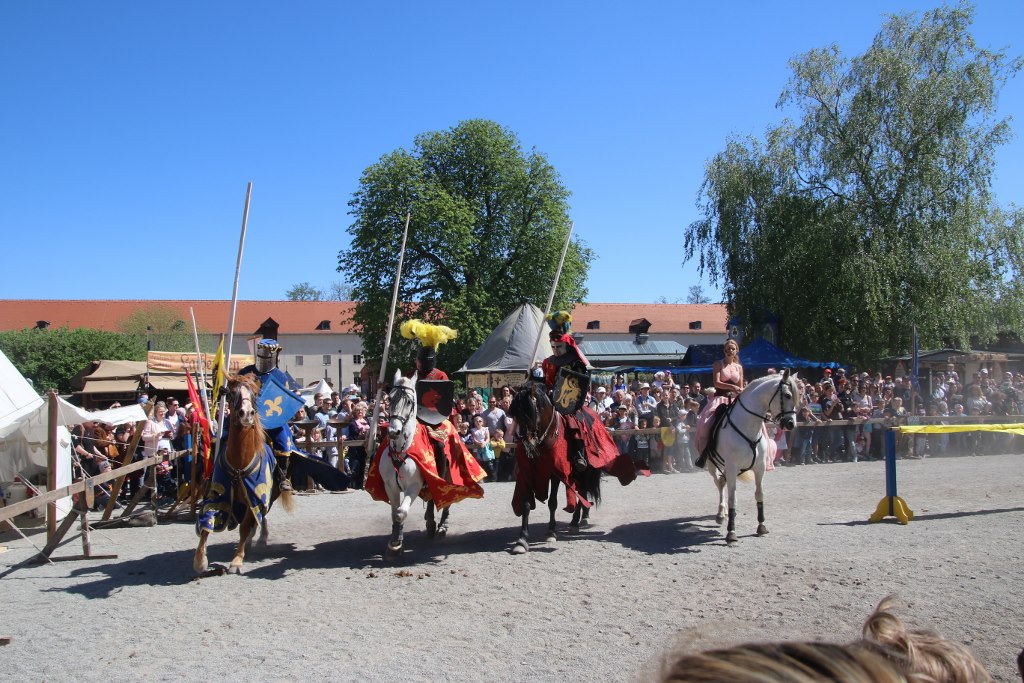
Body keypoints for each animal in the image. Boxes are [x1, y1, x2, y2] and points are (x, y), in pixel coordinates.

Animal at [193, 373, 293, 575]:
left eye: (255, 394)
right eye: (231, 393)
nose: (246, 414)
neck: (240, 462)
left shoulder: (255, 496)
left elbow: (246, 526)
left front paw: (237, 560)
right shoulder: (218, 494)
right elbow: (207, 522)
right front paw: (200, 560)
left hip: (268, 495)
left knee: (261, 517)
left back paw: (260, 538)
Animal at [507, 380, 609, 555]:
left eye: (530, 412)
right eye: (516, 416)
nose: (527, 446)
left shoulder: (555, 473)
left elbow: (552, 502)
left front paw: (551, 532)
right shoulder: (527, 472)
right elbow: (526, 504)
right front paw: (522, 540)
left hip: (584, 471)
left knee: (582, 491)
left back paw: (575, 523)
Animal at [699, 370, 798, 544]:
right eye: (787, 395)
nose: (791, 424)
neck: (748, 427)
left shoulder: (760, 468)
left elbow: (759, 494)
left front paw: (761, 526)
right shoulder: (732, 467)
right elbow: (733, 498)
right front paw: (731, 532)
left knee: (722, 482)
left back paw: (724, 513)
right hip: (712, 465)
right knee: (719, 483)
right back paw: (721, 513)